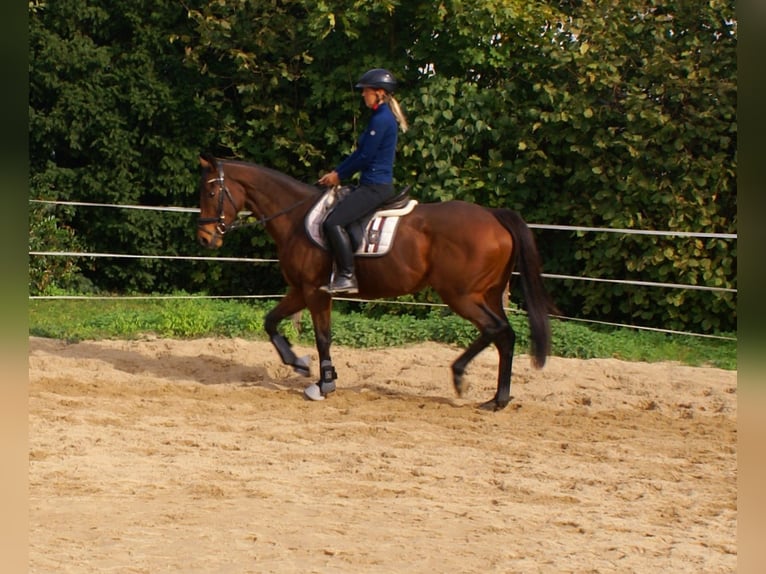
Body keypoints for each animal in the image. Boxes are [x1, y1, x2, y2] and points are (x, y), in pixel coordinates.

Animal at [196, 155, 560, 412]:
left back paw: (463, 377)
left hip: (461, 295)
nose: (204, 237)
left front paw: (323, 384)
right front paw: (299, 364)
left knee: (496, 330)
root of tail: (494, 216)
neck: (296, 218)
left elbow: (323, 337)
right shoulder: (300, 290)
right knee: (505, 335)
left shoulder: (314, 291)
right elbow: (271, 322)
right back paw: (498, 398)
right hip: (488, 294)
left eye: (211, 191)